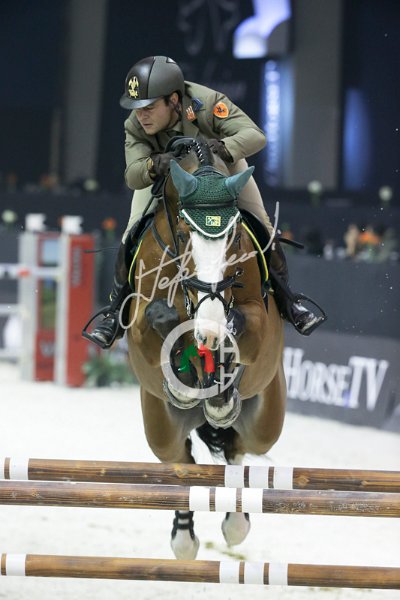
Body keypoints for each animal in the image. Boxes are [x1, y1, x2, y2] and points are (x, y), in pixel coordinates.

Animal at [124, 139, 286, 559]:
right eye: (184, 234)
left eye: (233, 237)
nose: (208, 324)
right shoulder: (139, 325)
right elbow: (159, 319)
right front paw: (187, 373)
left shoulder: (258, 320)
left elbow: (240, 325)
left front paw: (218, 362)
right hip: (161, 430)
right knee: (181, 462)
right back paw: (183, 539)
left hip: (265, 420)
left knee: (238, 449)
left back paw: (235, 521)